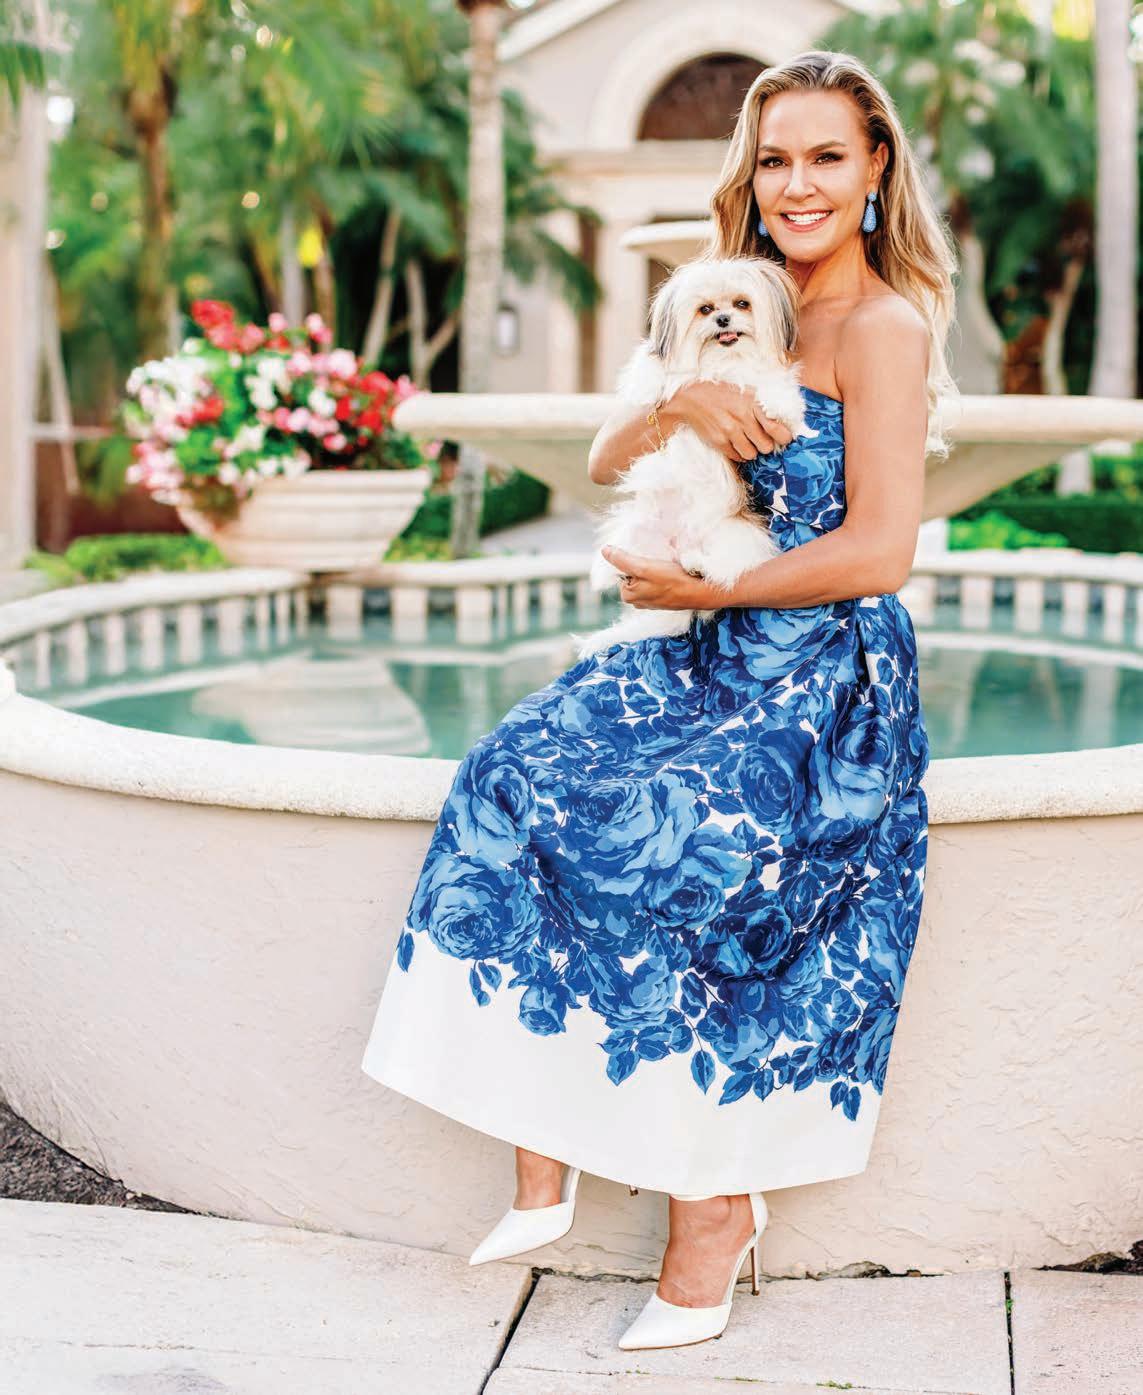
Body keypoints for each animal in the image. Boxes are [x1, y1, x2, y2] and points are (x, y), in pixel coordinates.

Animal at [571, 256, 817, 660]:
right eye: (705, 309)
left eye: (742, 304)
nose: (723, 320)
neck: (720, 361)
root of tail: (678, 546)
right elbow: (655, 371)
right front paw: (653, 385)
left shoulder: (764, 373)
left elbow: (773, 383)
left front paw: (784, 408)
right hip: (636, 528)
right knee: (620, 560)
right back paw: (607, 571)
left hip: (736, 537)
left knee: (721, 567)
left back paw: (697, 565)